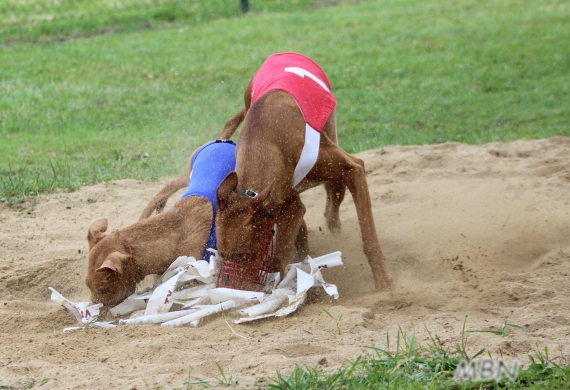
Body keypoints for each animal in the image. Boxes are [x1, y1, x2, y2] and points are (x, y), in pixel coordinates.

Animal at [215, 52, 392, 290]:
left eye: (244, 255)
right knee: (327, 213)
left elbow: (368, 234)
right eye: (222, 255)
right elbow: (286, 252)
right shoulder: (285, 203)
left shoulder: (353, 169)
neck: (264, 140)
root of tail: (284, 54)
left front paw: (383, 279)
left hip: (334, 155)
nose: (228, 287)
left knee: (332, 209)